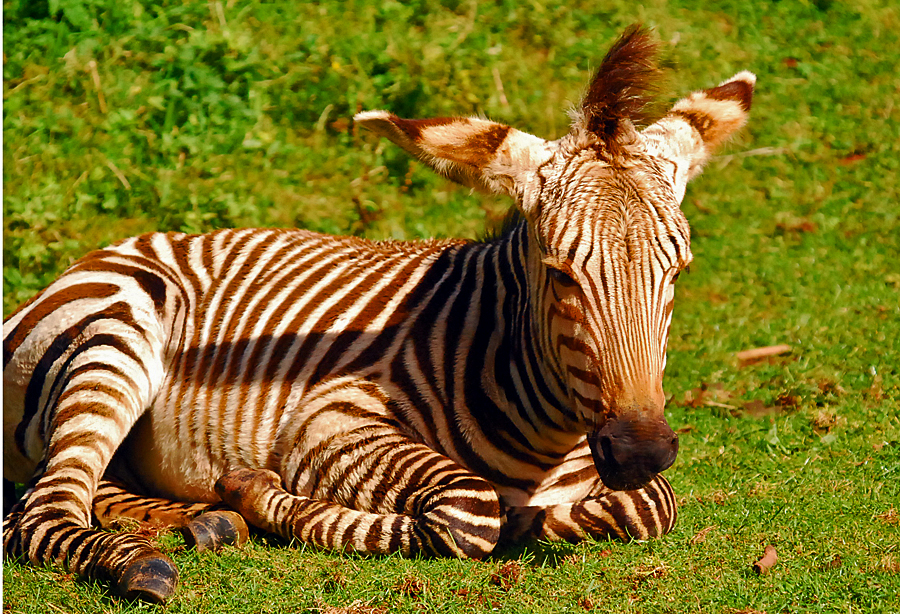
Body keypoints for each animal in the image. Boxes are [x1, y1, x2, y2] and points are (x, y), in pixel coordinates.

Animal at [3, 26, 754, 603]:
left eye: (678, 271)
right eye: (559, 272)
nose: (640, 451)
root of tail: (111, 248)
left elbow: (651, 504)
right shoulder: (324, 422)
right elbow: (473, 510)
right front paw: (272, 500)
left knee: (82, 492)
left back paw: (201, 520)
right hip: (114, 343)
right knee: (40, 513)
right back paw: (146, 556)